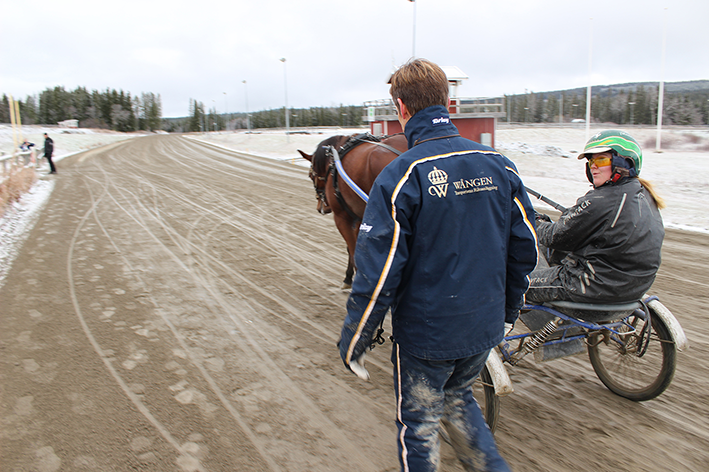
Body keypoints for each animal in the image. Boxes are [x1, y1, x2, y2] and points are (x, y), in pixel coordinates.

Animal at [298, 132, 410, 288]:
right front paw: (348, 277)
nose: (321, 206)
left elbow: (352, 249)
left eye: (310, 175)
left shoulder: (342, 217)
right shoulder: (359, 218)